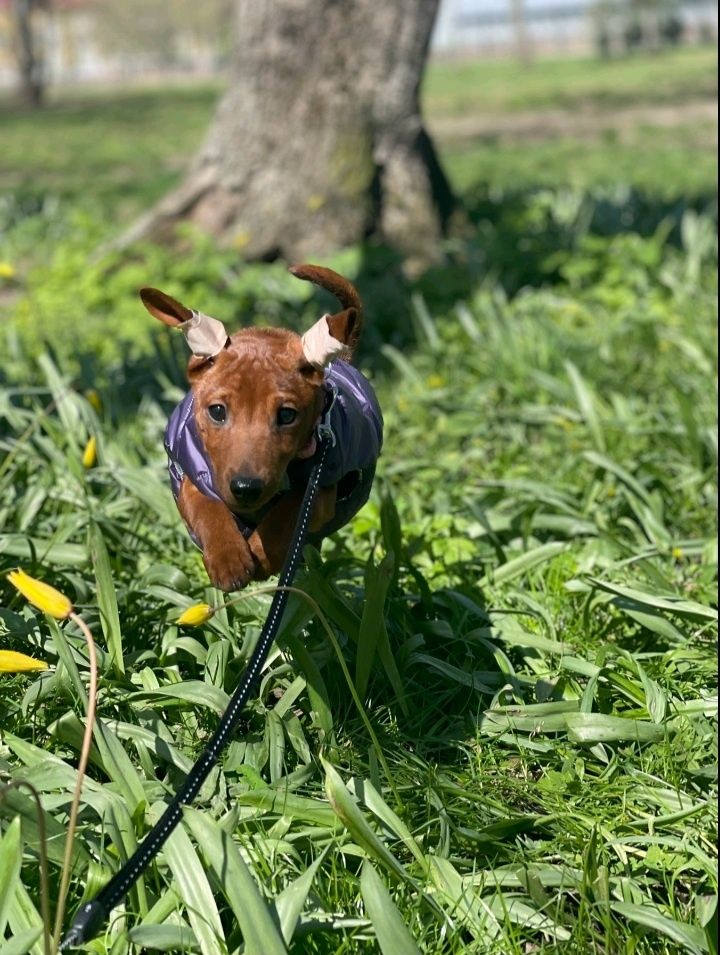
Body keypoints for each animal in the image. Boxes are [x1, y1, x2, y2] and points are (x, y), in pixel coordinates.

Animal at [139, 264, 382, 592]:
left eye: (287, 415)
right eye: (217, 411)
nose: (246, 488)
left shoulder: (319, 491)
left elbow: (286, 516)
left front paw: (260, 556)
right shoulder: (192, 476)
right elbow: (208, 508)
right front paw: (228, 558)